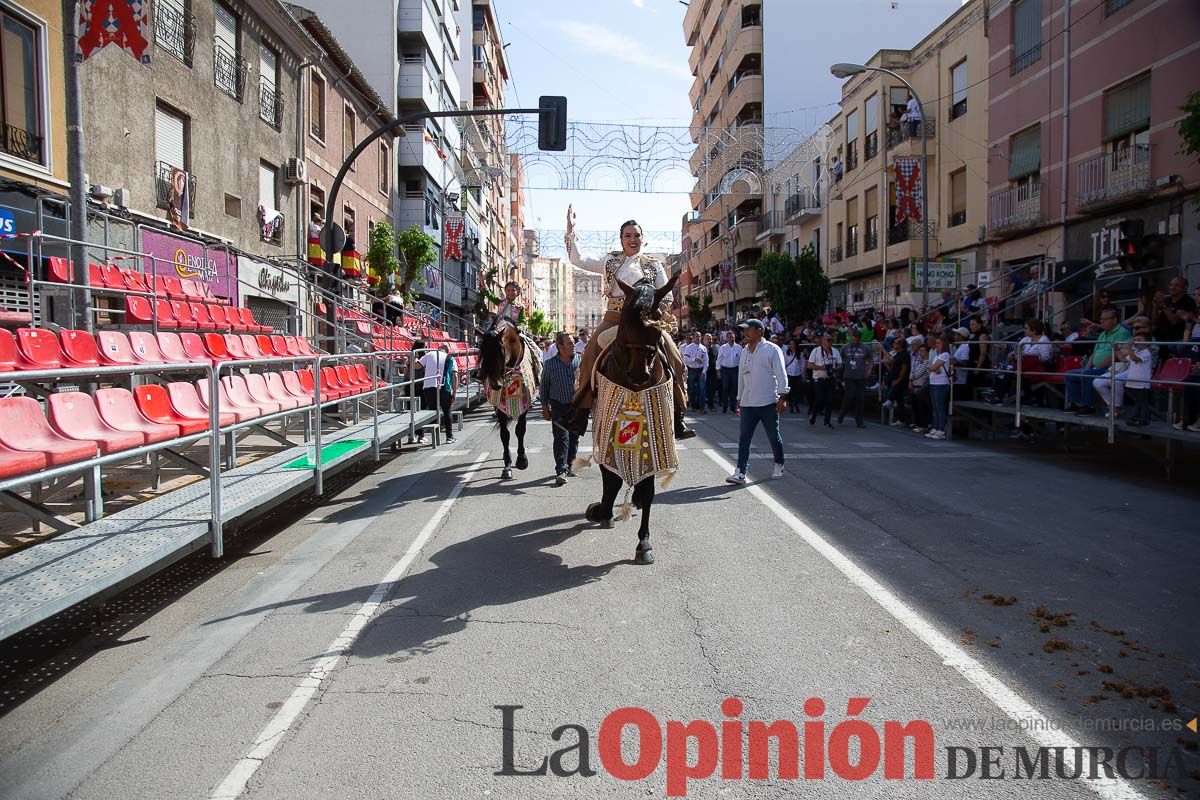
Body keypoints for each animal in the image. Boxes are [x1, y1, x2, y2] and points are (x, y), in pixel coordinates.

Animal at [583, 272, 681, 566]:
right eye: (626, 319)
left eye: (656, 321)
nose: (639, 374)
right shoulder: (605, 431)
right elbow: (611, 477)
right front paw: (602, 511)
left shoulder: (655, 437)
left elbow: (648, 490)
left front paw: (644, 544)